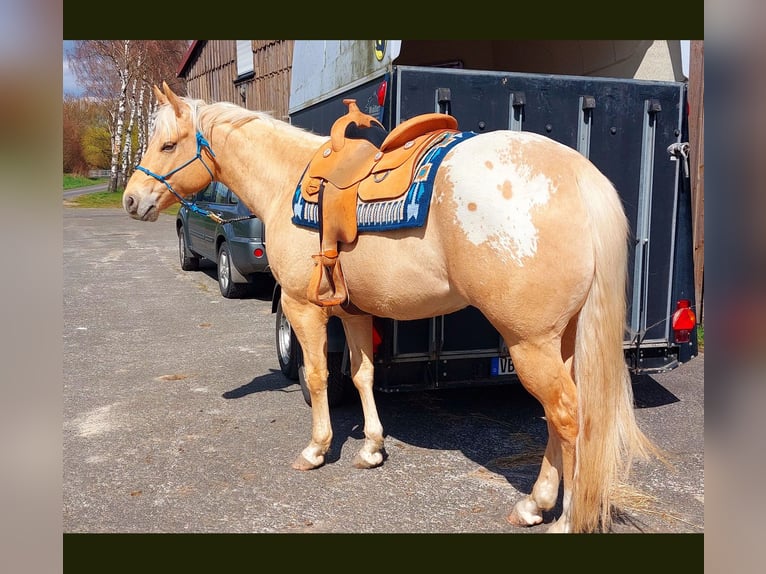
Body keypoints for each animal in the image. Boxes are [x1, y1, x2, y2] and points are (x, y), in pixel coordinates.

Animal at [123, 82, 661, 533]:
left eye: (168, 145)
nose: (131, 199)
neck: (287, 182)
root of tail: (577, 174)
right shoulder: (354, 312)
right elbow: (362, 374)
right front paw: (372, 447)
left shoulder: (303, 308)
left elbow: (317, 375)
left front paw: (317, 448)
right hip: (561, 339)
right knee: (559, 416)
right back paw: (534, 504)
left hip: (531, 343)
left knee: (568, 416)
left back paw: (566, 520)